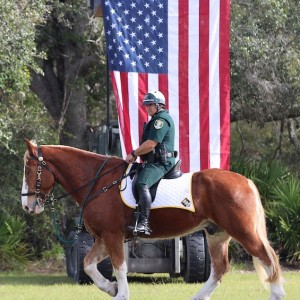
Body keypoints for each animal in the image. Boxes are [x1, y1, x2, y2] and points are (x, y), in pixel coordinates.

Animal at [21, 139, 286, 298]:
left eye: (29, 169)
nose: (27, 205)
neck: (98, 182)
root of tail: (245, 180)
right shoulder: (105, 238)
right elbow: (88, 264)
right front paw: (111, 288)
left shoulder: (112, 236)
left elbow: (119, 267)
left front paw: (121, 293)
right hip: (217, 234)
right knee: (220, 269)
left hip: (244, 232)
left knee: (268, 259)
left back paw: (277, 294)